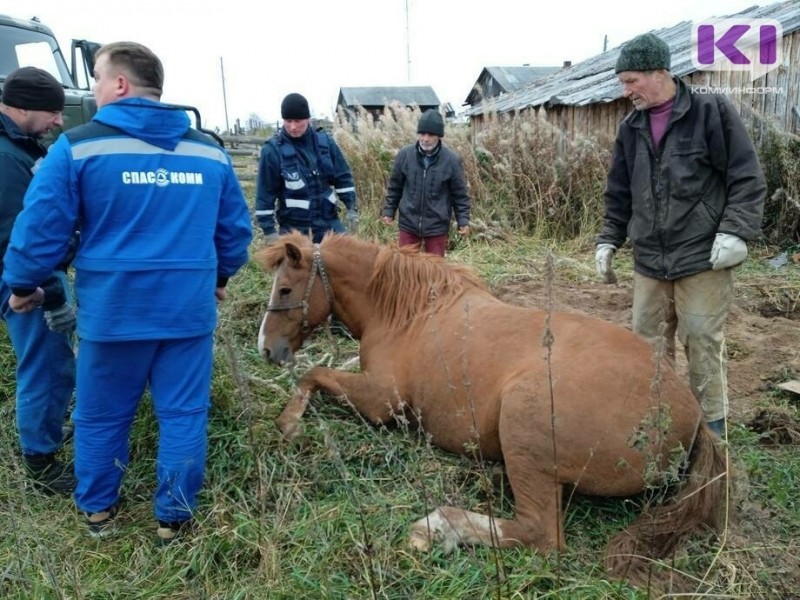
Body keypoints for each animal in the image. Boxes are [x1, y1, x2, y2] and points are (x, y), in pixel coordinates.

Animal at [255, 232, 724, 584]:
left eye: (285, 289)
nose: (266, 349)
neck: (408, 313)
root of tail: (694, 418)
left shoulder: (380, 400)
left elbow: (312, 373)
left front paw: (289, 422)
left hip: (522, 415)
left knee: (539, 533)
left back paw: (437, 527)